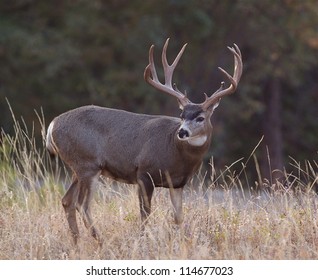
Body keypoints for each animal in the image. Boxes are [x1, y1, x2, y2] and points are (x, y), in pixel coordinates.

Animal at [46, 38, 242, 244]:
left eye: (200, 118)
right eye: (181, 115)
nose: (182, 132)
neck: (175, 152)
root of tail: (52, 125)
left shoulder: (178, 183)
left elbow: (178, 217)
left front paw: (181, 242)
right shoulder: (144, 173)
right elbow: (145, 214)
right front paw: (142, 241)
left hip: (78, 167)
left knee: (67, 201)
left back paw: (77, 243)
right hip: (87, 164)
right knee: (82, 204)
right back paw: (101, 242)